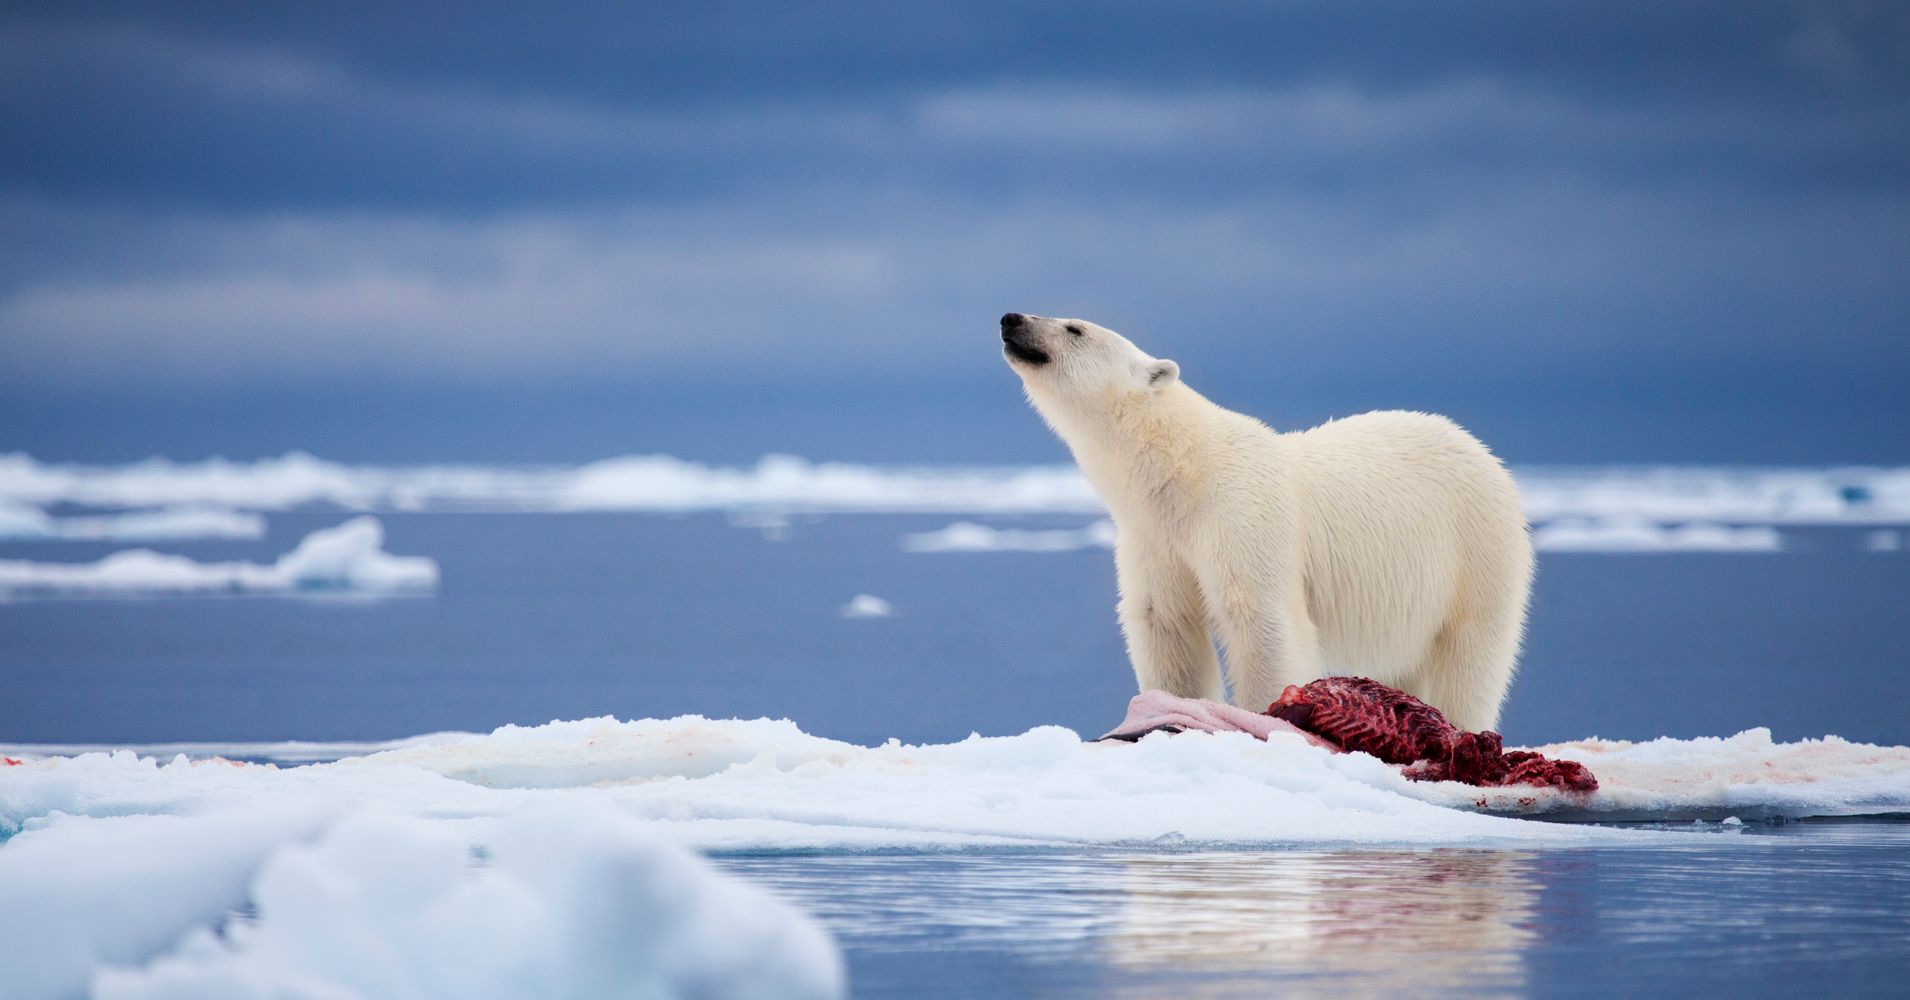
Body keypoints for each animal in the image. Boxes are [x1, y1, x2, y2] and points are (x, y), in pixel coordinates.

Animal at [1000, 309, 1535, 729]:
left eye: (1074, 328)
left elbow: (1261, 619)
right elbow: (1166, 622)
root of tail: (1482, 452)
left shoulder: (1242, 515)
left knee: (1469, 659)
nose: (1011, 318)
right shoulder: (1154, 537)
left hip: (1475, 550)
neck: (1183, 471)